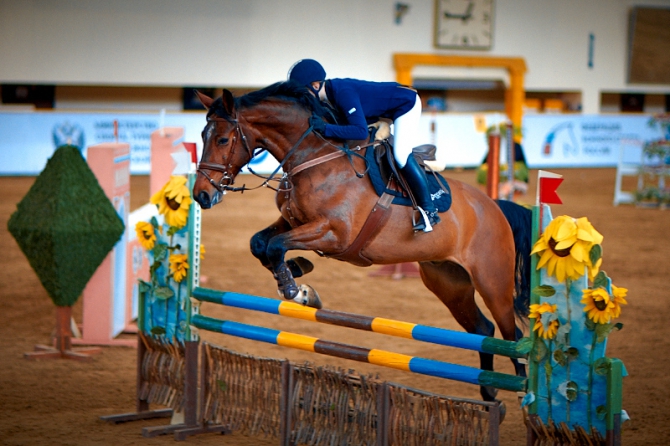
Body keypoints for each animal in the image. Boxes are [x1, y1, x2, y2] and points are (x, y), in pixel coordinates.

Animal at [192, 82, 532, 402]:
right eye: (202, 136)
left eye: (222, 140)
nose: (201, 195)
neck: (314, 158)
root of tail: (494, 206)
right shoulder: (292, 221)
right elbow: (260, 243)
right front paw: (299, 272)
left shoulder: (334, 234)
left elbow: (275, 245)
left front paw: (296, 290)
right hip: (448, 283)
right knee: (483, 331)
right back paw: (488, 391)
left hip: (492, 282)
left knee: (511, 333)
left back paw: (523, 393)